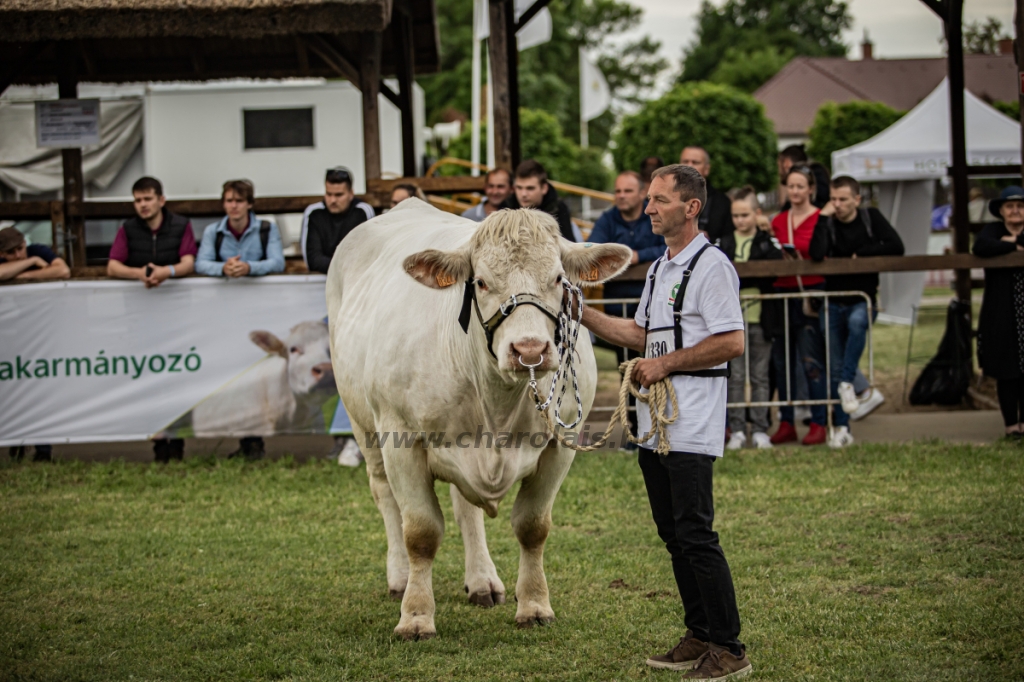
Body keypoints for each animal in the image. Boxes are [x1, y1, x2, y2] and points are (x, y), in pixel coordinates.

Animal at [327, 197, 630, 638]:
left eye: (558, 278)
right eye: (482, 282)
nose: (529, 349)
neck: (497, 399)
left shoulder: (561, 446)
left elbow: (533, 526)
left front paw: (534, 605)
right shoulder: (401, 439)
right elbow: (420, 532)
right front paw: (415, 615)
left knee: (465, 508)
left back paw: (482, 580)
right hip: (363, 424)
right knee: (384, 495)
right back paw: (399, 577)